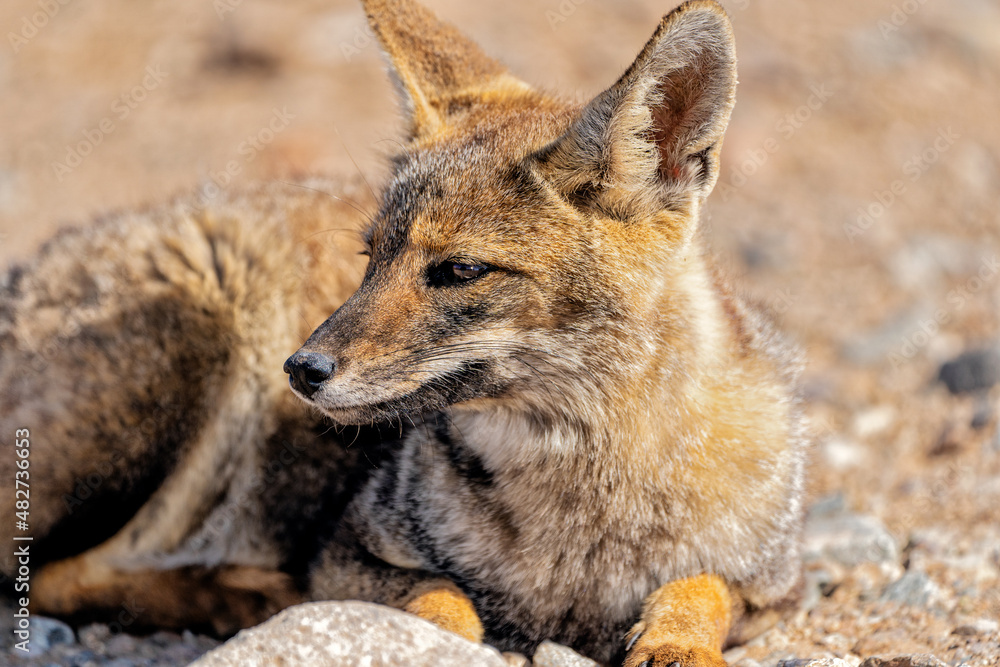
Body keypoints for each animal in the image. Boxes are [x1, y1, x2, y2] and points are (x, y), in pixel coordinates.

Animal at [0, 0, 808, 665]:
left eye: (459, 270)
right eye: (372, 256)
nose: (301, 368)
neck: (582, 509)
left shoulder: (781, 583)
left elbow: (703, 584)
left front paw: (676, 642)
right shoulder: (348, 547)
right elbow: (446, 604)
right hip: (198, 352)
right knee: (58, 574)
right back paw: (242, 594)